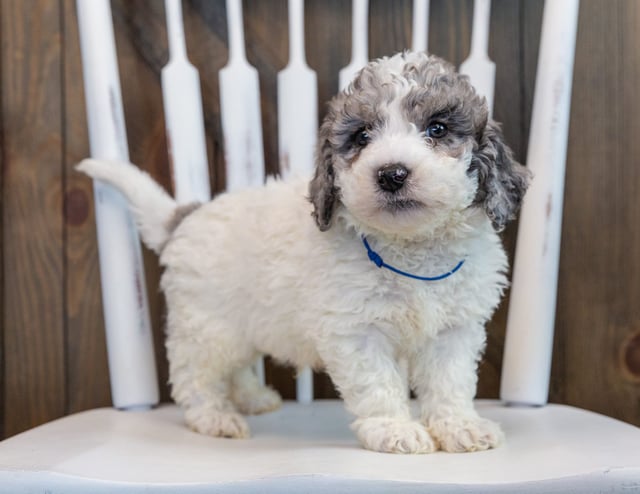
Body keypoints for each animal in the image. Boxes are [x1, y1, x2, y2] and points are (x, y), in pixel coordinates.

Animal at [79, 52, 528, 454]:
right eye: (362, 136)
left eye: (437, 128)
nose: (392, 174)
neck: (410, 249)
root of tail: (187, 216)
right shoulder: (358, 331)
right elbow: (379, 385)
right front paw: (393, 429)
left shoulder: (454, 331)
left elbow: (450, 383)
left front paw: (460, 427)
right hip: (208, 327)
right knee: (196, 376)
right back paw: (215, 417)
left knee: (236, 367)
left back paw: (252, 397)